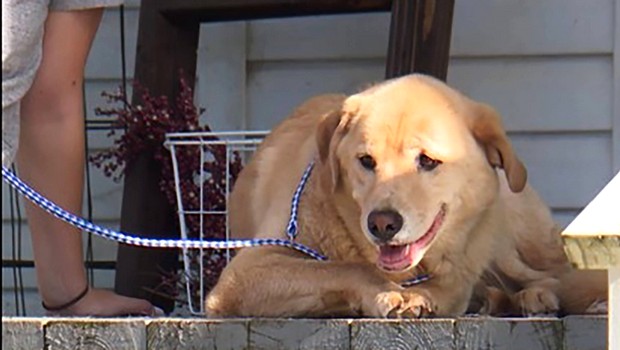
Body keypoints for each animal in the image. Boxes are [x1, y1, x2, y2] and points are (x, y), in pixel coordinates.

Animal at [206, 74, 608, 318]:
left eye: (427, 161)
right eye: (366, 161)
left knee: (559, 276)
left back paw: (538, 297)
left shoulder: (459, 273)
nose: (382, 224)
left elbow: (445, 287)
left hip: (512, 238)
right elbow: (341, 267)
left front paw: (419, 295)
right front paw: (383, 292)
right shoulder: (246, 272)